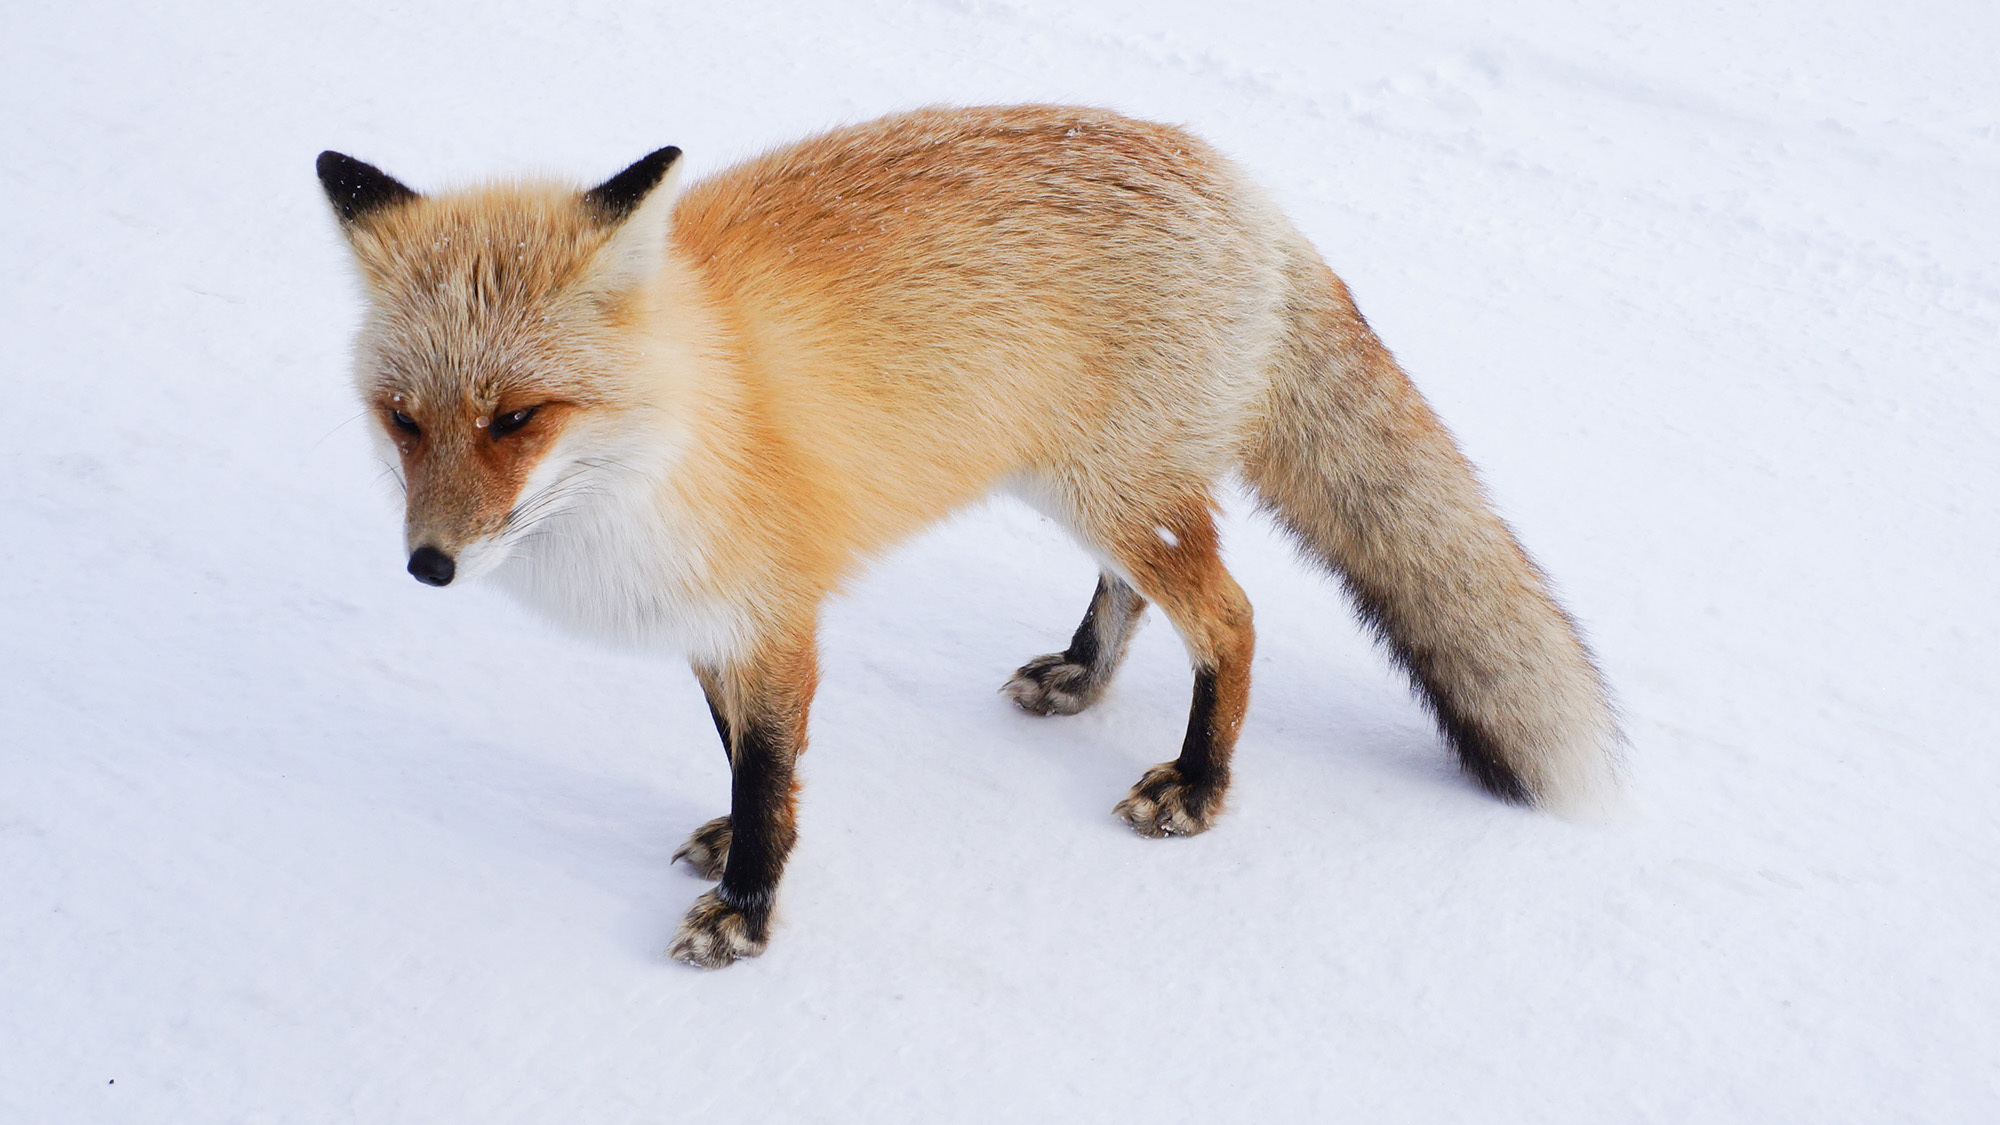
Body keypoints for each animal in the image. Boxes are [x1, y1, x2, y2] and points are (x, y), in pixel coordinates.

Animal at [316, 103, 1624, 964]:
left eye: (517, 419)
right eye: (403, 420)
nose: (428, 565)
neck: (676, 430)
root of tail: (1243, 185)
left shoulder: (778, 614)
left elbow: (767, 772)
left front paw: (748, 907)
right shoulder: (709, 625)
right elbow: (741, 759)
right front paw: (736, 841)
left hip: (1109, 489)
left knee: (1231, 620)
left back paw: (1198, 786)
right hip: (1082, 484)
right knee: (1135, 592)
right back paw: (1082, 677)